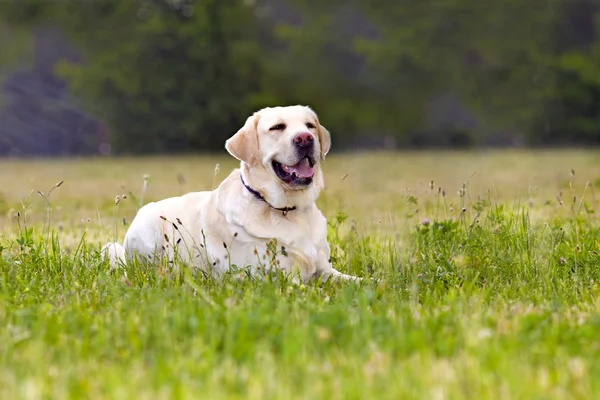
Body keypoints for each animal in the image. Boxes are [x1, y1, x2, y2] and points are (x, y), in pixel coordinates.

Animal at [102, 104, 360, 282]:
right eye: (277, 127)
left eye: (310, 126)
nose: (305, 138)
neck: (287, 210)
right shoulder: (272, 279)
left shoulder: (326, 271)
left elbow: (360, 281)